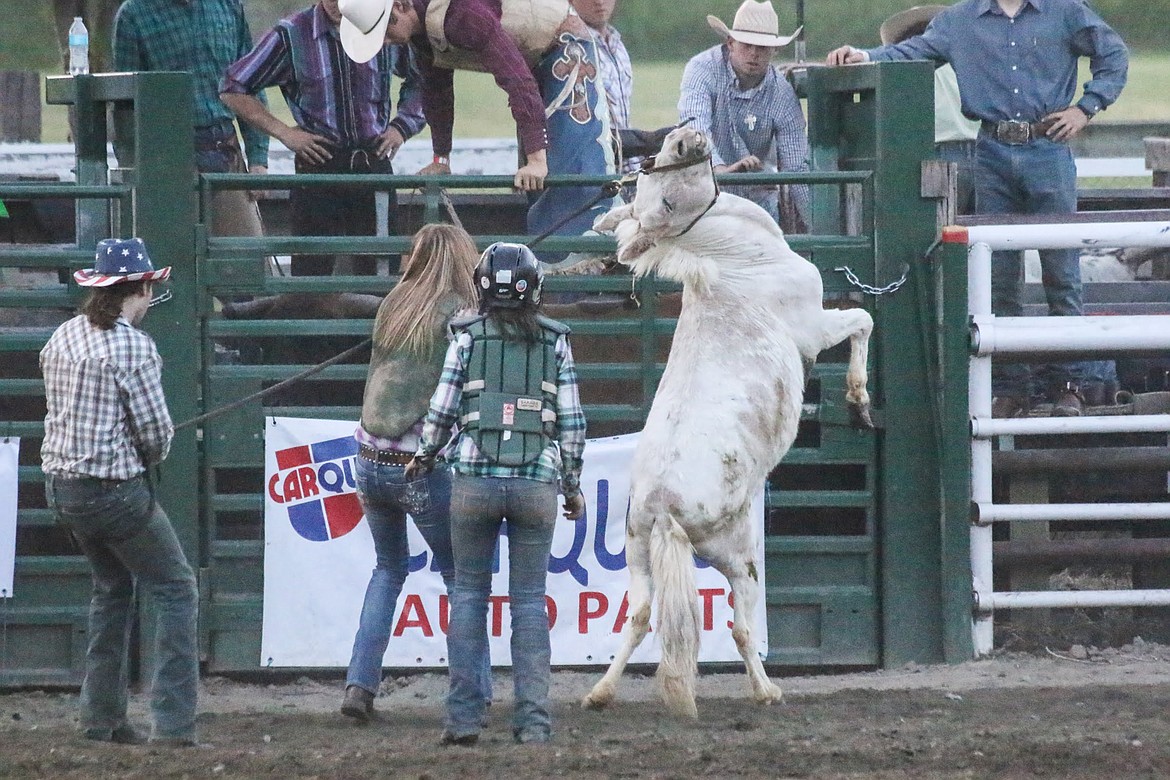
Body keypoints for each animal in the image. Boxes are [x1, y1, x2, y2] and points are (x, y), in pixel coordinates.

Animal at [580, 125, 875, 715]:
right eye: (665, 202)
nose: (685, 137)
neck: (734, 260)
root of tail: (664, 509)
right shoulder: (814, 328)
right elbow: (862, 320)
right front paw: (859, 399)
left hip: (638, 555)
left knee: (639, 617)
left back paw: (600, 692)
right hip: (739, 558)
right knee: (741, 628)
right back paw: (766, 691)